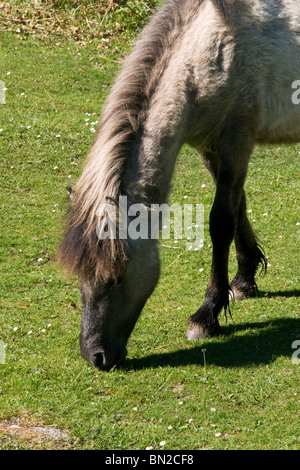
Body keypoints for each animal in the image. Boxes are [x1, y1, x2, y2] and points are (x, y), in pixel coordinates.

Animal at [58, 0, 300, 370]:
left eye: (117, 276)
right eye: (82, 274)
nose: (95, 355)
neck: (210, 49)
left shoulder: (236, 143)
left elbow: (221, 222)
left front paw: (208, 313)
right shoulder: (209, 147)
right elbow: (240, 208)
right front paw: (245, 280)